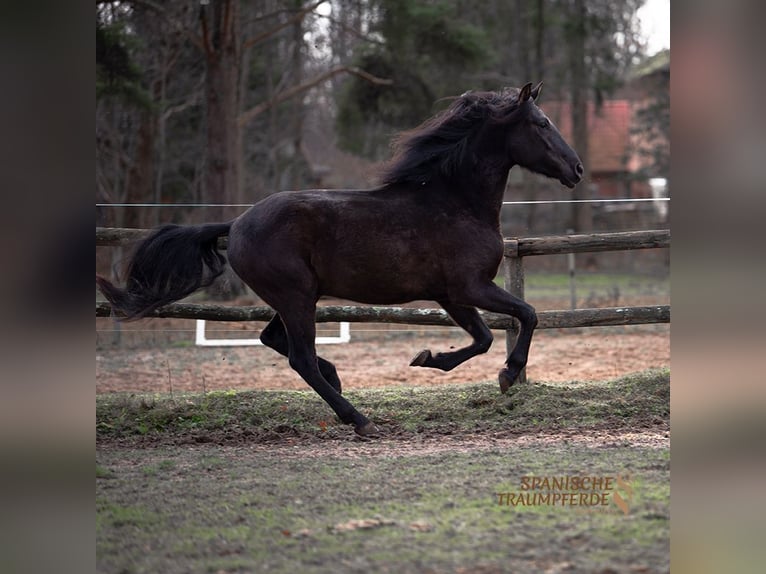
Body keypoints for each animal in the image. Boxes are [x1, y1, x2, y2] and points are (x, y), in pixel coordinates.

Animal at [96, 83, 584, 438]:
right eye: (541, 123)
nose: (577, 169)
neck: (456, 201)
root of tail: (236, 224)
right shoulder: (471, 286)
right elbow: (528, 314)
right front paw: (508, 374)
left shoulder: (451, 295)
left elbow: (482, 338)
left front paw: (428, 358)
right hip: (295, 297)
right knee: (300, 358)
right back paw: (358, 418)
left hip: (294, 298)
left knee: (275, 341)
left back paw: (337, 380)